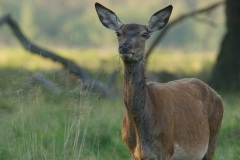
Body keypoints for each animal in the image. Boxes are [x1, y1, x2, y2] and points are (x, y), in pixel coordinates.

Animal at [95, 2, 223, 160]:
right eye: (118, 33)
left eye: (144, 34)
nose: (125, 46)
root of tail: (217, 95)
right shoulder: (133, 152)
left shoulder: (166, 149)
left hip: (213, 136)